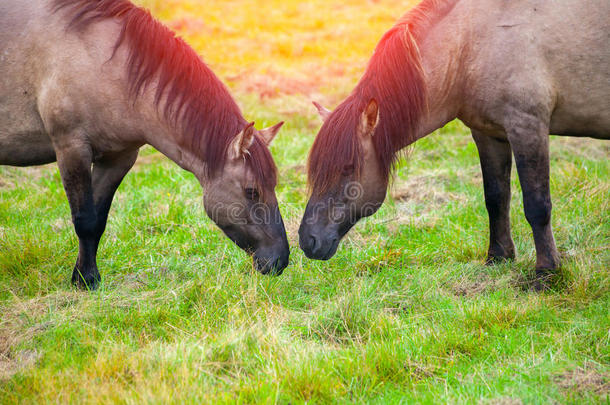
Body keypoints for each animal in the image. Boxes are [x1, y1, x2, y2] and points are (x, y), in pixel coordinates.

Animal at [0, 0, 290, 290]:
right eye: (252, 191)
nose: (280, 261)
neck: (104, 64)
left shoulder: (119, 158)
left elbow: (98, 220)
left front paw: (84, 276)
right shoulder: (72, 148)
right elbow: (84, 219)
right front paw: (86, 280)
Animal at [300, 0, 608, 286]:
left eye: (348, 169)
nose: (307, 240)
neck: (470, 44)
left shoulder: (527, 129)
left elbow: (537, 206)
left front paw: (546, 273)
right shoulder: (488, 134)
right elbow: (496, 198)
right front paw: (498, 257)